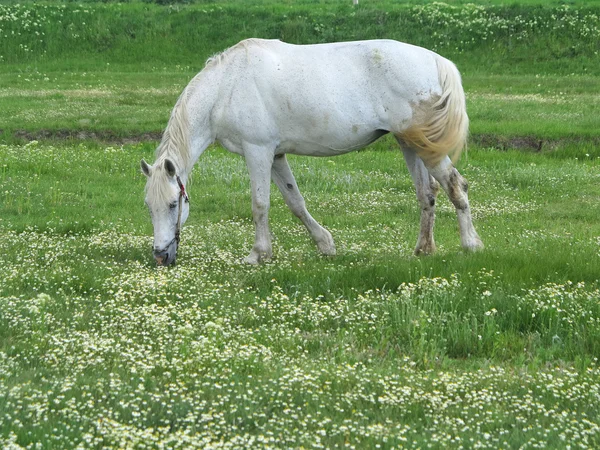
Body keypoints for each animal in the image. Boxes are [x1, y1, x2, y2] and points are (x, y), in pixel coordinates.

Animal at [141, 38, 482, 266]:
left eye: (173, 204)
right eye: (148, 206)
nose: (161, 256)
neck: (227, 87)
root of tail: (436, 61)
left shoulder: (258, 152)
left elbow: (260, 205)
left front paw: (257, 254)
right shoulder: (276, 156)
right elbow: (295, 201)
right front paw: (325, 245)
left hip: (424, 146)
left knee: (455, 185)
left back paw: (471, 244)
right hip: (411, 144)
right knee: (427, 193)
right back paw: (423, 250)